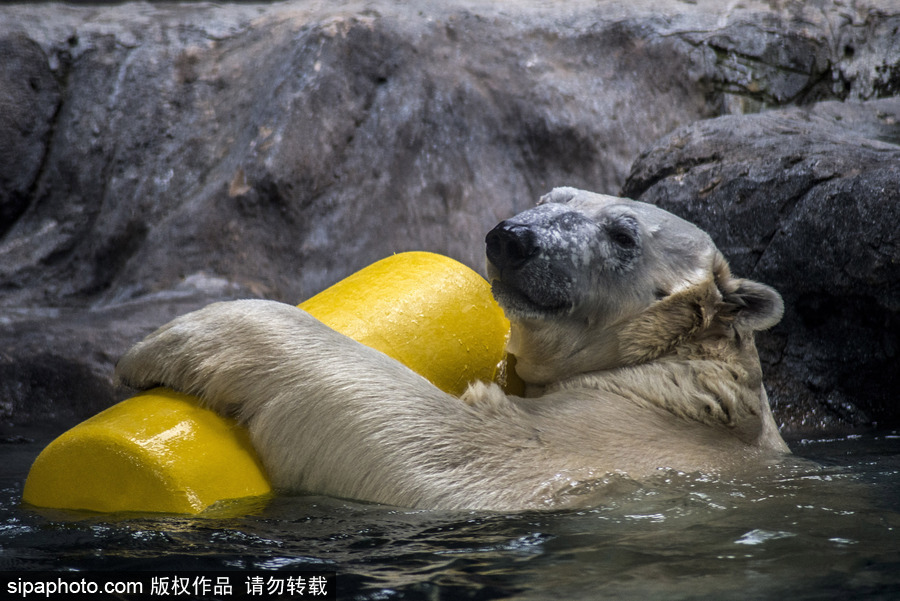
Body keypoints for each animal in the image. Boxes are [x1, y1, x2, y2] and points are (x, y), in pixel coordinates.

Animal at [116, 186, 792, 506]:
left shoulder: (618, 442)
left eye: (623, 236)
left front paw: (173, 339)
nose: (512, 238)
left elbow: (465, 448)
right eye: (549, 197)